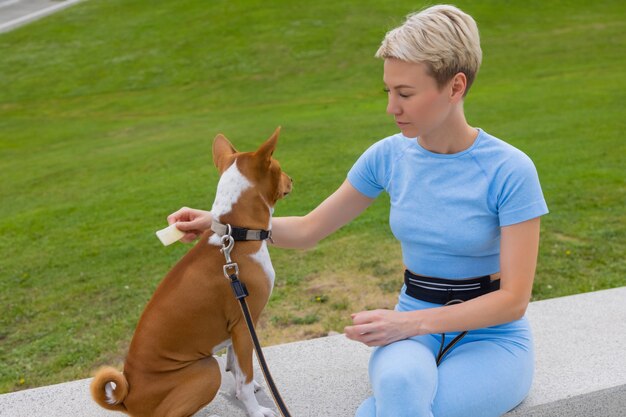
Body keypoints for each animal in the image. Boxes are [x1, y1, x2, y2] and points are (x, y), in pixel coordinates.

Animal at [90, 127, 292, 416]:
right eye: (279, 166)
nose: (292, 179)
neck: (235, 234)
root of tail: (128, 398)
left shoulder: (236, 326)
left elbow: (236, 366)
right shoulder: (245, 325)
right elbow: (245, 376)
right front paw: (254, 410)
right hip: (206, 369)